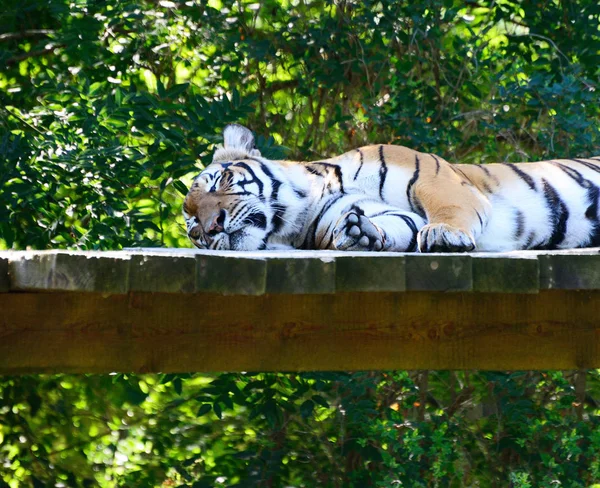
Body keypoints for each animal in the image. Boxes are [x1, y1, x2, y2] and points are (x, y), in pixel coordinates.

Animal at [182, 124, 600, 254]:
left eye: (220, 182)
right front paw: (357, 233)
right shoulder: (385, 213)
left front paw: (444, 233)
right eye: (194, 229)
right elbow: (396, 227)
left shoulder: (436, 180)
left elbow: (447, 210)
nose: (213, 227)